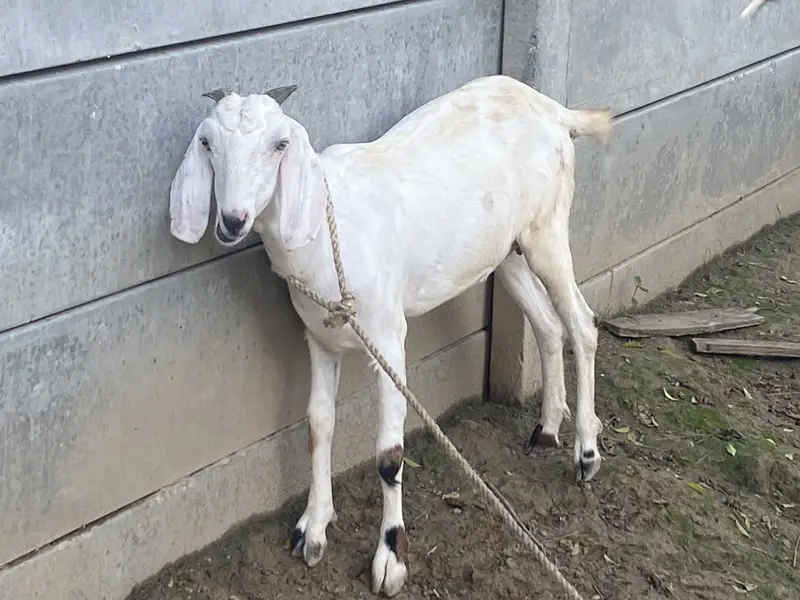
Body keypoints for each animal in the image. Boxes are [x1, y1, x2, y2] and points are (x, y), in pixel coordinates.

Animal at [169, 75, 612, 597]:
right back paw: (545, 430)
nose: (232, 220)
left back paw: (586, 452)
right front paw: (313, 530)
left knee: (581, 324)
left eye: (280, 144)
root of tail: (553, 109)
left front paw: (391, 558)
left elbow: (389, 454)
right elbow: (318, 425)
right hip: (507, 250)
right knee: (546, 323)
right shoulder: (319, 338)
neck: (328, 229)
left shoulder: (387, 336)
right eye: (207, 142)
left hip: (547, 230)